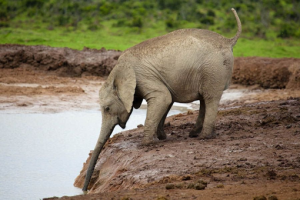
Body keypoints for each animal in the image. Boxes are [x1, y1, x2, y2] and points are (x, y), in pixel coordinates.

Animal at [81, 8, 241, 191]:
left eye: (107, 108)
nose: (84, 189)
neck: (117, 71)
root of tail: (228, 40)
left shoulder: (143, 77)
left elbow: (163, 98)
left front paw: (145, 144)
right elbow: (167, 100)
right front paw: (161, 137)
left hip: (214, 69)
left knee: (210, 97)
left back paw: (204, 137)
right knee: (204, 99)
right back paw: (194, 134)